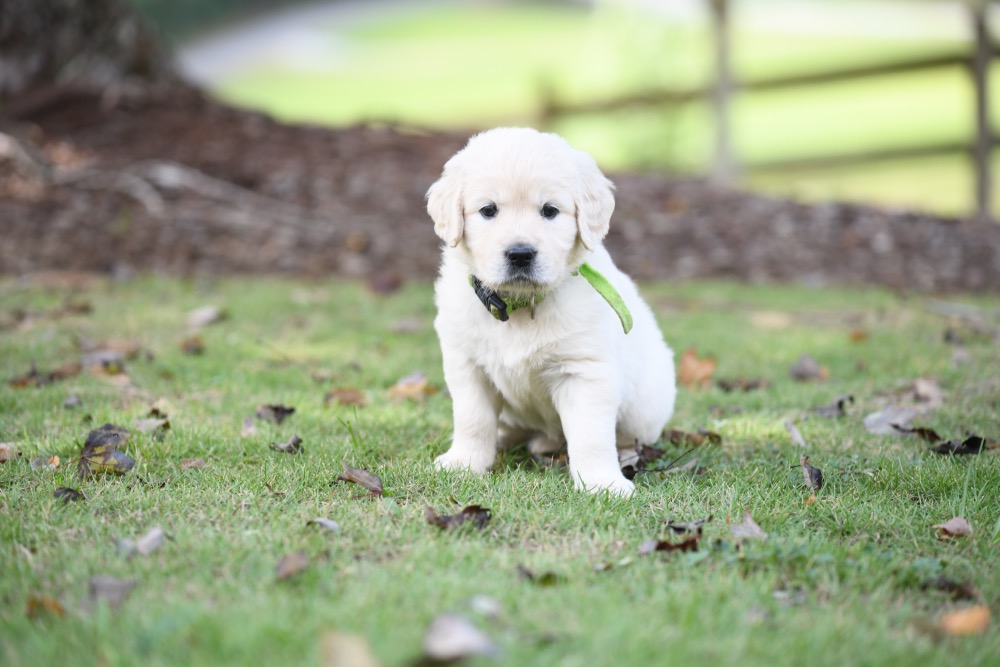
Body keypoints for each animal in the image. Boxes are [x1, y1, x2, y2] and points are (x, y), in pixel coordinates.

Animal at [426, 126, 676, 496]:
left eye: (549, 210)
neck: (519, 305)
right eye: (488, 210)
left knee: (627, 437)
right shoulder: (467, 365)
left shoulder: (585, 371)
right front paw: (464, 462)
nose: (520, 254)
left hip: (645, 406)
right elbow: (472, 419)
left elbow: (591, 435)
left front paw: (602, 482)